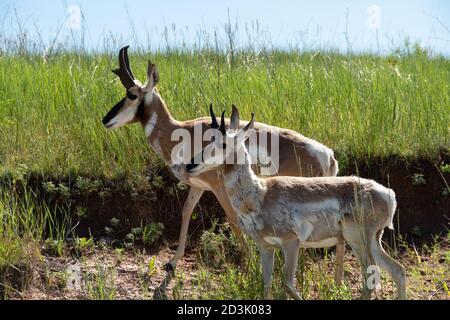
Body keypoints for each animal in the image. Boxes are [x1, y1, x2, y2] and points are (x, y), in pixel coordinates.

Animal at [100, 45, 342, 280]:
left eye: (131, 94)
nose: (105, 120)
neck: (181, 131)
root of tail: (327, 154)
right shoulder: (198, 186)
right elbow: (186, 211)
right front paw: (172, 263)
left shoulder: (220, 189)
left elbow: (234, 221)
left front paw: (250, 267)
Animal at [185, 110, 406, 300]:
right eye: (209, 139)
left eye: (223, 143)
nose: (190, 164)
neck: (260, 193)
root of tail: (388, 194)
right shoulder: (266, 247)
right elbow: (267, 284)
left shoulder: (291, 242)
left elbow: (287, 283)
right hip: (372, 241)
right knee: (399, 270)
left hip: (357, 239)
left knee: (372, 275)